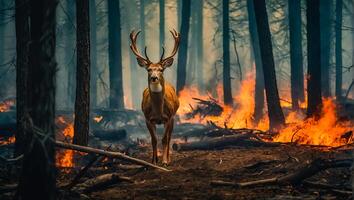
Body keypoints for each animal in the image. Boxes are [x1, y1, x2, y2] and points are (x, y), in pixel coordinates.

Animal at [129, 28, 180, 165]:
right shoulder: (148, 118)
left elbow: (164, 139)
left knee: (169, 137)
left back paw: (168, 159)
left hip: (174, 116)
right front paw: (153, 160)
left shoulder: (168, 117)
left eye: (161, 69)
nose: (154, 77)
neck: (158, 112)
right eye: (149, 69)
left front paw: (164, 161)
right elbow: (154, 139)